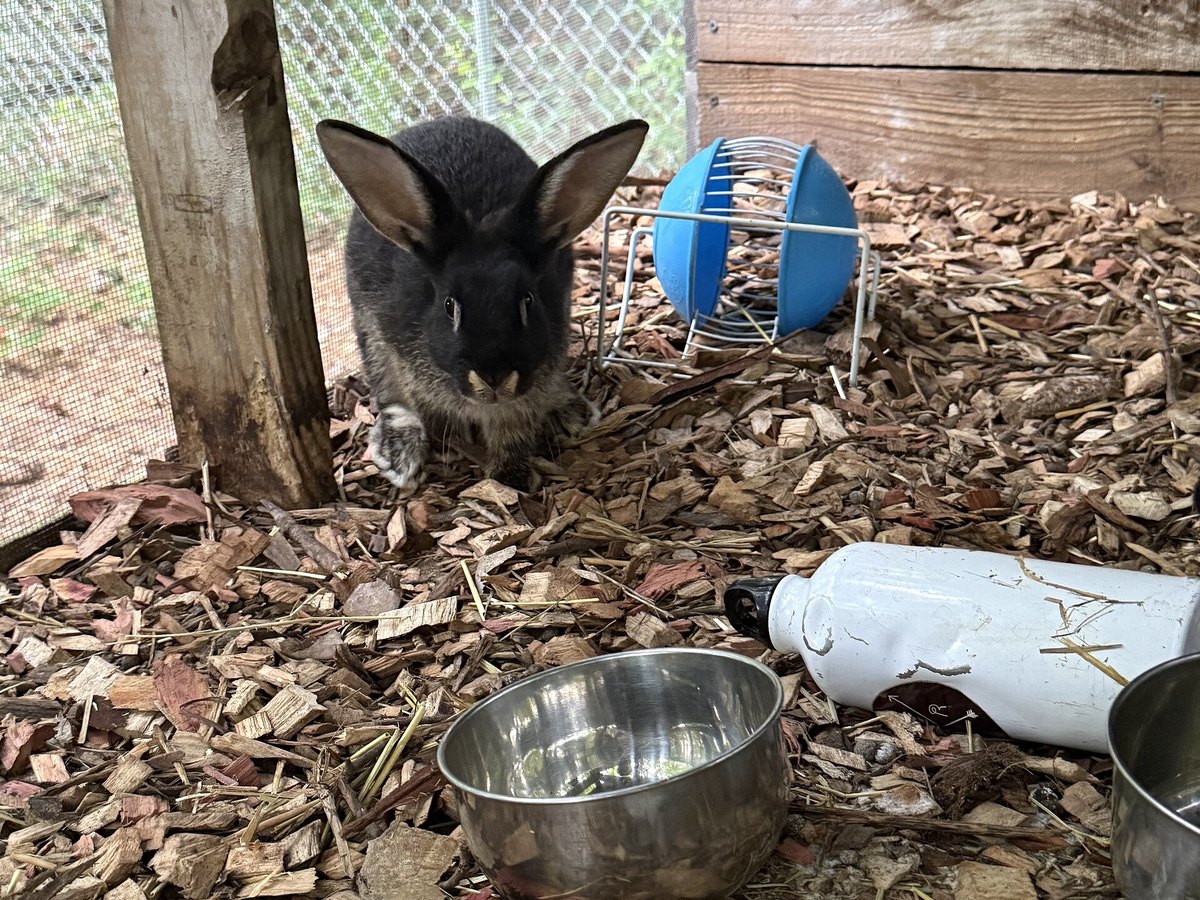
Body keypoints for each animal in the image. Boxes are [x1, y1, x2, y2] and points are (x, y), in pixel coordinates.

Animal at [316, 115, 648, 491]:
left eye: (527, 300)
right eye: (450, 305)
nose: (494, 377)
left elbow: (514, 429)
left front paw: (510, 477)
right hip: (367, 331)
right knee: (387, 391)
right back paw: (399, 452)